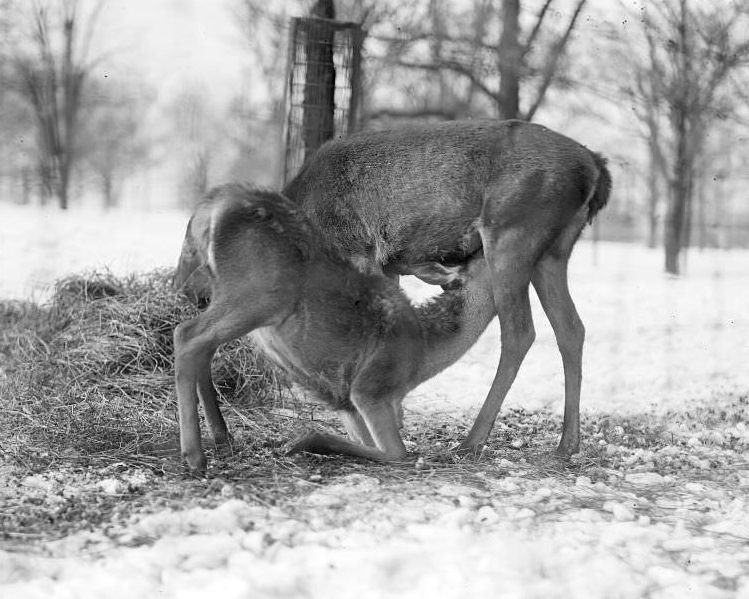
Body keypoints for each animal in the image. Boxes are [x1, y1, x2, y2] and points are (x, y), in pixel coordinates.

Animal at [172, 184, 494, 474]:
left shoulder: (346, 404)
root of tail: (212, 206)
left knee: (201, 344)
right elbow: (397, 453)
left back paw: (221, 438)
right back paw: (195, 457)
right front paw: (305, 441)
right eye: (482, 258)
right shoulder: (370, 389)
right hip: (258, 294)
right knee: (187, 335)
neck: (423, 357)